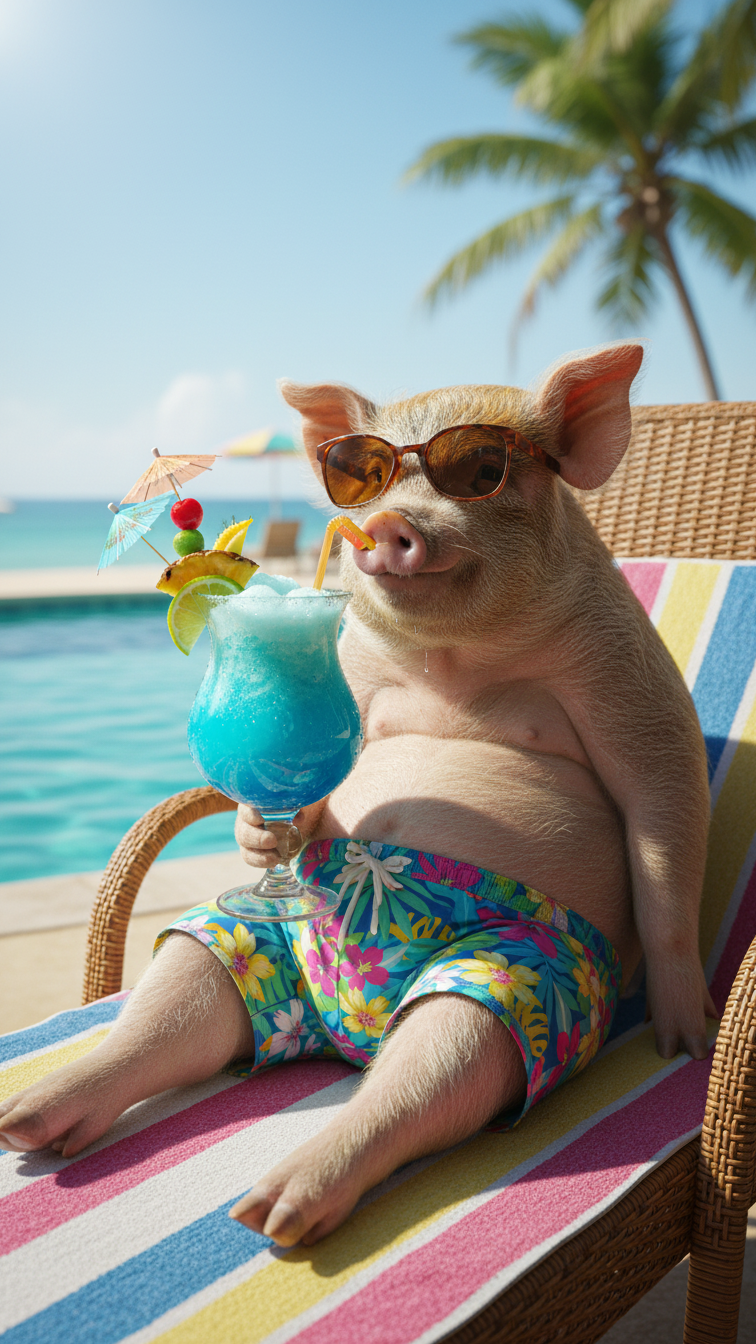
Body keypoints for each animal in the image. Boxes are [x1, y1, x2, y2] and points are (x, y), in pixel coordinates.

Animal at [0, 342, 715, 1251]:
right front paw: (260, 834)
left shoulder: (634, 684)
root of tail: (345, 1039)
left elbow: (661, 812)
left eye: (481, 471)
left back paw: (274, 1208)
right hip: (243, 944)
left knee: (444, 1061)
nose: (384, 525)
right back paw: (31, 1117)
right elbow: (313, 791)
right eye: (362, 478)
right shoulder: (351, 682)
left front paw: (683, 1040)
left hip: (525, 979)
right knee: (190, 987)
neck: (453, 663)